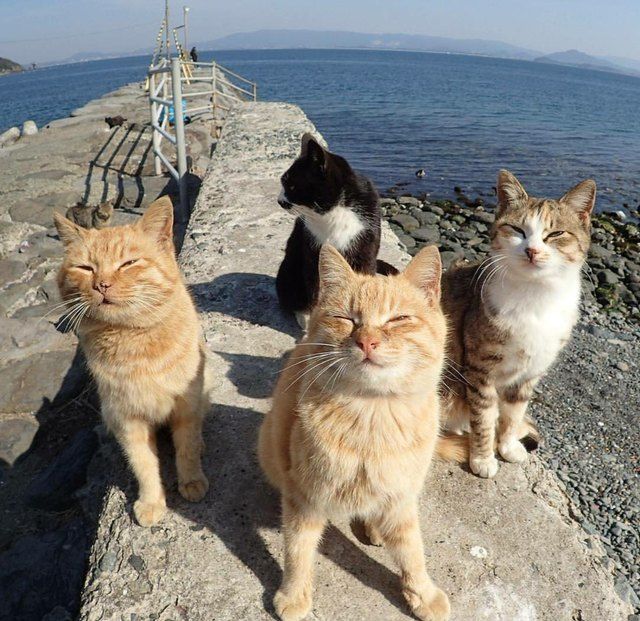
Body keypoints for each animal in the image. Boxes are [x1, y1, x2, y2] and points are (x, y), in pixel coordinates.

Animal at [53, 196, 208, 524]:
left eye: (128, 264)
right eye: (85, 268)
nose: (102, 284)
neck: (135, 343)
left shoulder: (186, 405)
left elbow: (186, 448)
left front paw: (191, 480)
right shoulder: (128, 421)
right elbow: (144, 465)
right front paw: (151, 502)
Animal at [258, 245, 448, 620]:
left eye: (398, 320)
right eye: (347, 319)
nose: (367, 341)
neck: (372, 417)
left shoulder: (402, 497)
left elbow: (412, 550)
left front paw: (422, 593)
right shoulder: (305, 497)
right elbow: (297, 550)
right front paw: (294, 594)